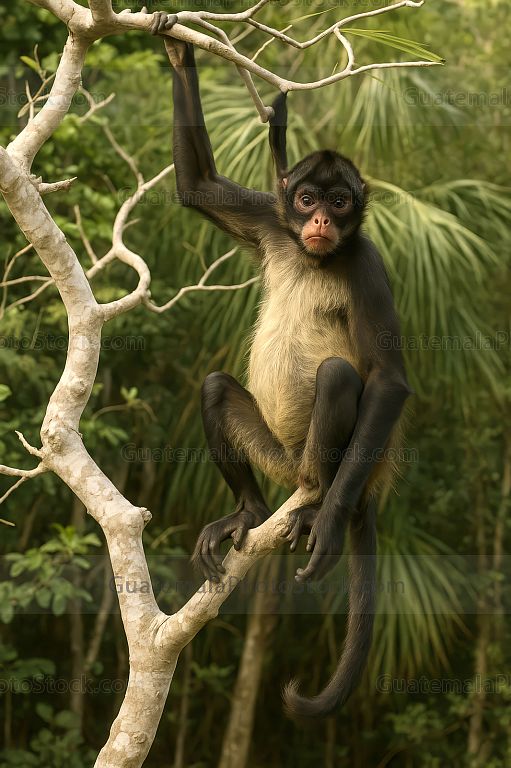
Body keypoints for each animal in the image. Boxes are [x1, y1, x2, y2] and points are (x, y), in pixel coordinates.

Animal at [152, 12, 412, 720]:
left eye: (342, 203)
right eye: (307, 198)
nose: (320, 218)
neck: (317, 253)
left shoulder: (366, 261)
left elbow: (387, 381)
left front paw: (326, 528)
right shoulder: (273, 222)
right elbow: (197, 189)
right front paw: (179, 49)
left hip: (330, 458)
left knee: (339, 377)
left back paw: (320, 501)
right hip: (271, 452)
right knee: (217, 386)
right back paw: (247, 511)